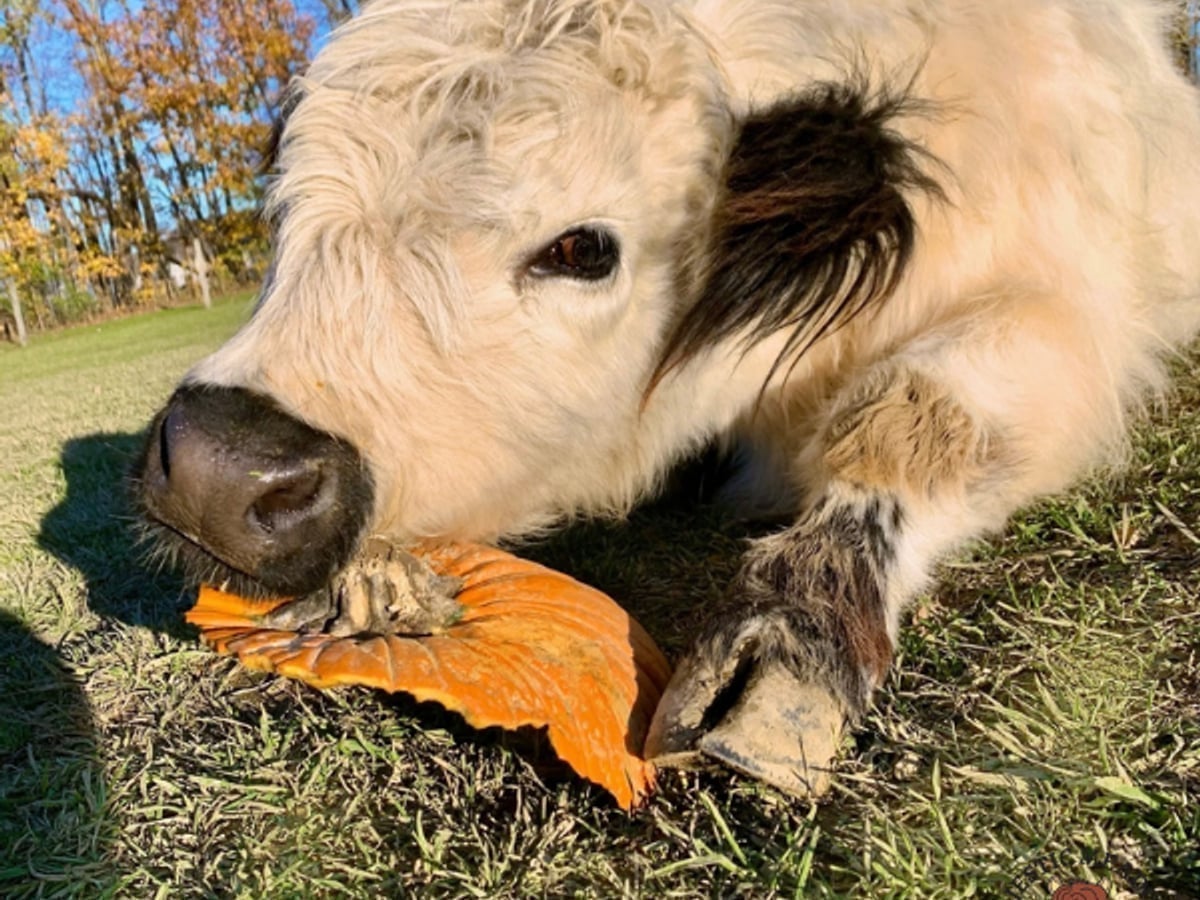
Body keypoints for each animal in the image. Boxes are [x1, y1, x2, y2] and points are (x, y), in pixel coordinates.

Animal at [135, 0, 1200, 795]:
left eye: (582, 247)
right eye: (286, 188)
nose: (221, 466)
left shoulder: (1071, 315)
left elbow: (919, 419)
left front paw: (792, 640)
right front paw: (376, 577)